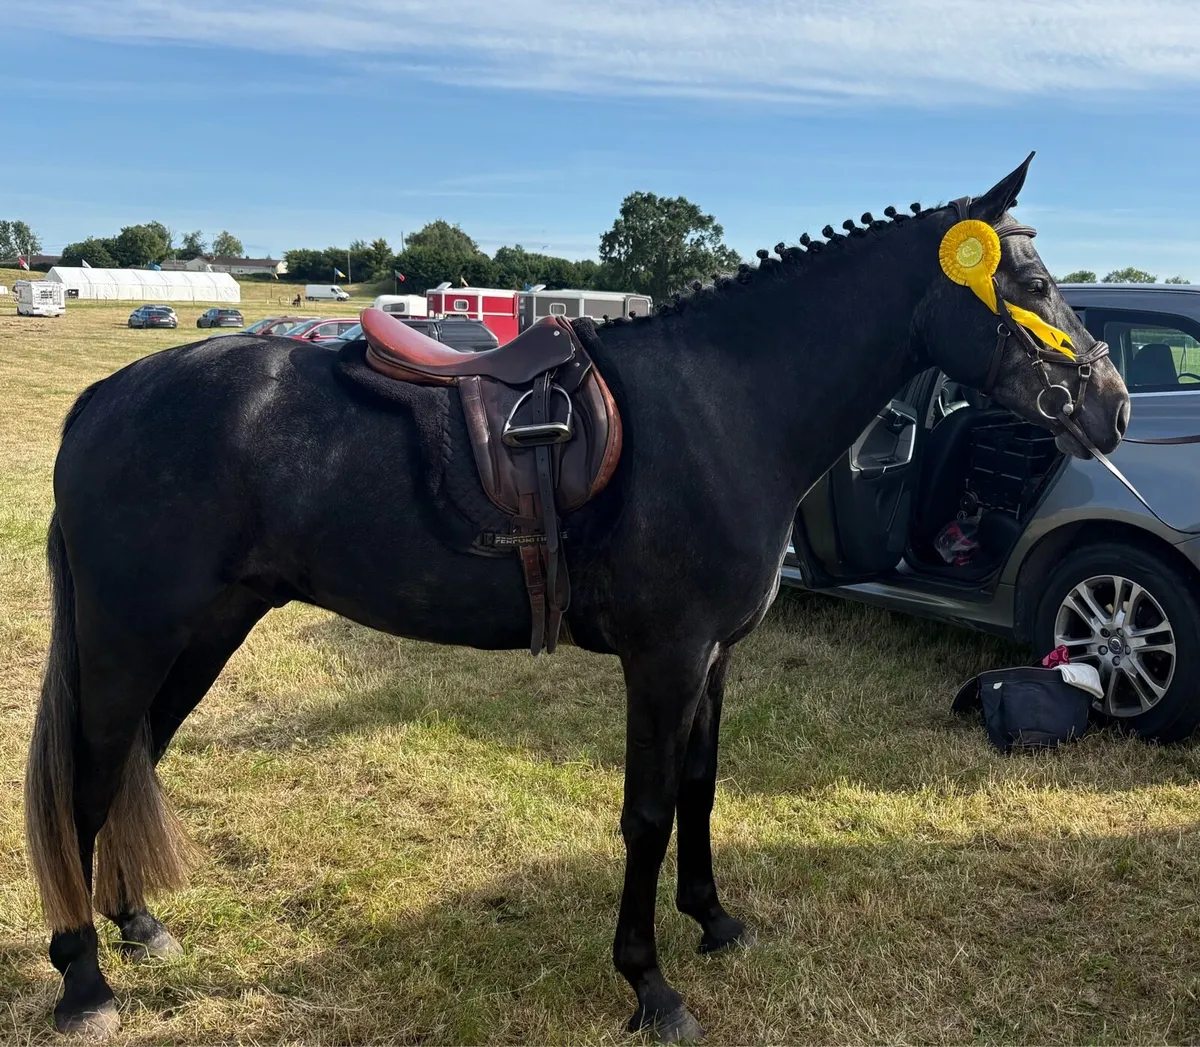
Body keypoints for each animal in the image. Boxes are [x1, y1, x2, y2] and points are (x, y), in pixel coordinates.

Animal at [24, 156, 1130, 1040]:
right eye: (1030, 282)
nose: (1111, 405)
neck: (724, 405)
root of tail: (104, 401)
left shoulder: (715, 658)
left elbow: (699, 788)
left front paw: (715, 922)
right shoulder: (665, 658)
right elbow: (646, 810)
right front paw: (651, 986)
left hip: (201, 633)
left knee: (131, 760)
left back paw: (137, 926)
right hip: (132, 636)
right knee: (89, 776)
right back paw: (83, 980)